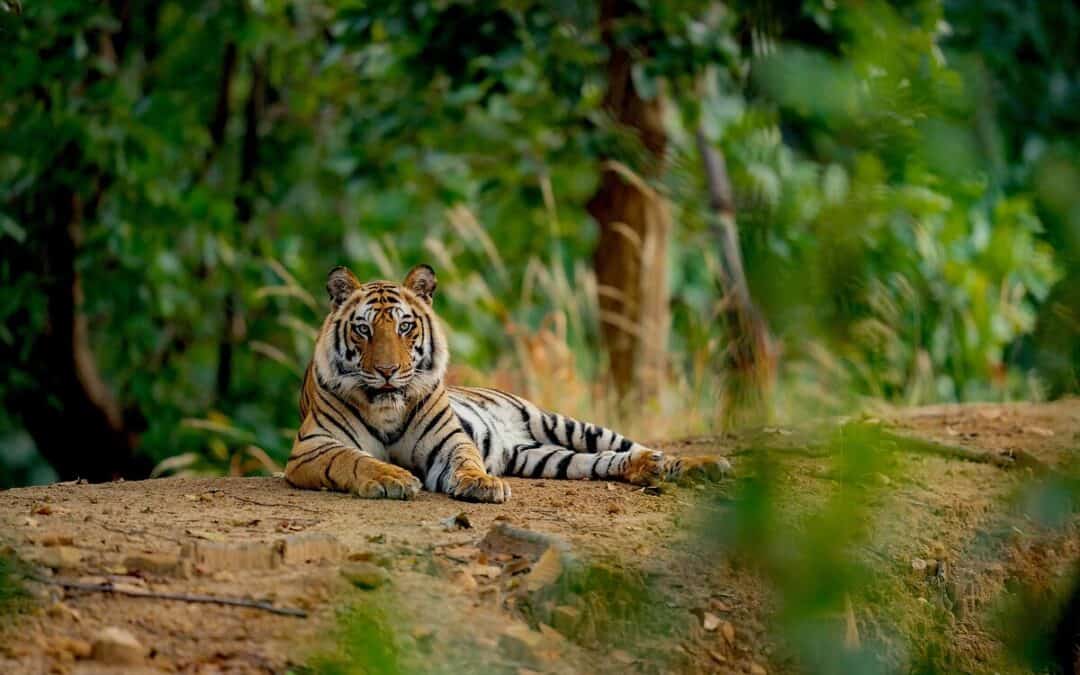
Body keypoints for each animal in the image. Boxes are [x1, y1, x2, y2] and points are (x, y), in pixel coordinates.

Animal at [284, 264, 731, 503]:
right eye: (363, 329)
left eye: (405, 327)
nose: (388, 371)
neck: (387, 409)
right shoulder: (313, 447)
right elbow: (355, 459)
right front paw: (391, 478)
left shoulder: (448, 441)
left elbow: (465, 459)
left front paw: (482, 483)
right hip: (544, 457)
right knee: (605, 461)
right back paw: (647, 470)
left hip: (566, 424)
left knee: (635, 446)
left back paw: (702, 465)